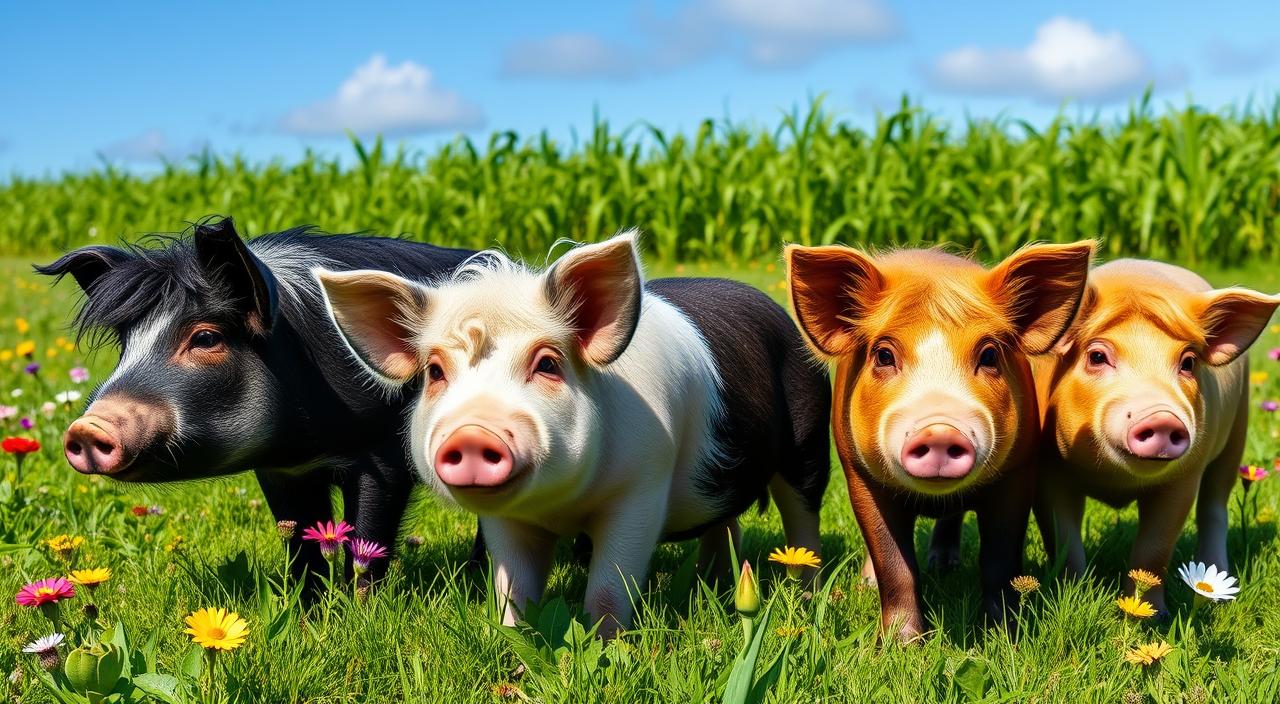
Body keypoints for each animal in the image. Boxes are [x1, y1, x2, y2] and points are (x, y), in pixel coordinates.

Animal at [36, 217, 474, 584]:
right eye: (126, 343)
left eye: (205, 337)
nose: (86, 428)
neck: (309, 441)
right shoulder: (283, 471)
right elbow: (301, 546)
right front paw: (308, 616)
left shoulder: (383, 455)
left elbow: (367, 543)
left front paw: (359, 610)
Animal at [315, 231, 831, 637]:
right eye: (436, 371)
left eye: (547, 363)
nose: (473, 431)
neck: (560, 508)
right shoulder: (504, 521)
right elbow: (513, 589)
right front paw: (513, 640)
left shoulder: (642, 490)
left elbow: (608, 588)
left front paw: (605, 645)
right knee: (724, 524)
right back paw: (715, 583)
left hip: (808, 439)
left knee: (803, 518)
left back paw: (807, 597)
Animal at [786, 241, 1094, 641]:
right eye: (883, 355)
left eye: (989, 354)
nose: (939, 430)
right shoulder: (859, 476)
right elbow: (894, 566)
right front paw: (900, 645)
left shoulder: (1017, 475)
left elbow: (999, 561)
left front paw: (1001, 637)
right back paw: (868, 584)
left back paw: (944, 564)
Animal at [1033, 259, 1279, 613]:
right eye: (1097, 356)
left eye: (1188, 362)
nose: (1163, 417)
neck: (1115, 481)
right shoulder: (1048, 470)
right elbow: (1063, 540)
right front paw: (1072, 596)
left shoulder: (1184, 477)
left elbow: (1155, 547)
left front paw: (1152, 615)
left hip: (1237, 431)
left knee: (1215, 505)